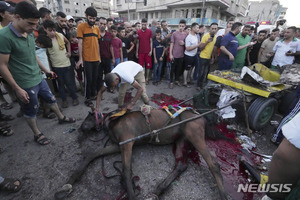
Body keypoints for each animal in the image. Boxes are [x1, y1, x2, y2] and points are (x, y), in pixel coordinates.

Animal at [55, 108, 229, 200]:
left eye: (87, 118)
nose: (80, 128)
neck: (113, 120)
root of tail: (201, 116)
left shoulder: (127, 143)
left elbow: (126, 171)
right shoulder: (119, 145)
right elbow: (92, 153)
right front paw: (67, 185)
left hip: (195, 135)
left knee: (214, 164)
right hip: (181, 140)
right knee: (181, 165)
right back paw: (158, 190)